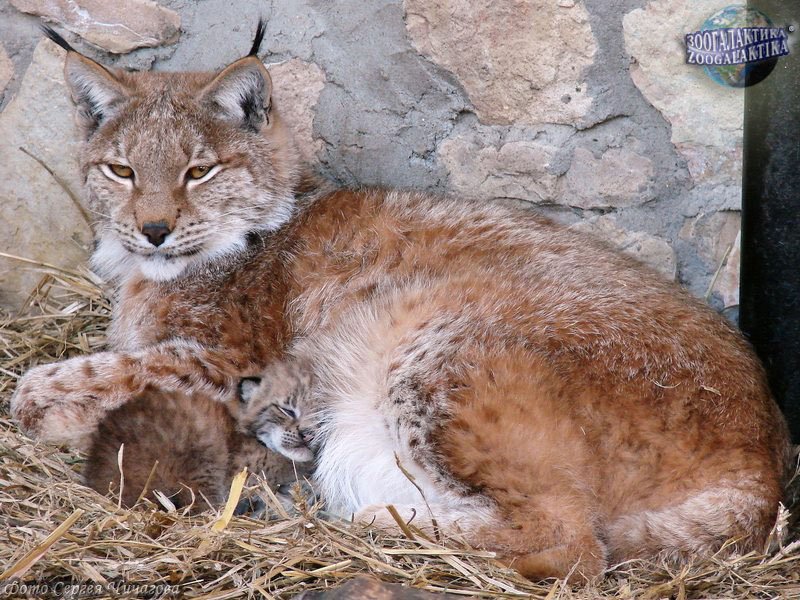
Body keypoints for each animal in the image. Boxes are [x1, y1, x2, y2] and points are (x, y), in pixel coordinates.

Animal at [9, 22, 792, 582]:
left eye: (200, 172)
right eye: (120, 171)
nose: (154, 229)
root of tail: (764, 451)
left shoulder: (231, 359)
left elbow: (108, 372)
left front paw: (36, 402)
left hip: (440, 348)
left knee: (574, 544)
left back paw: (376, 522)